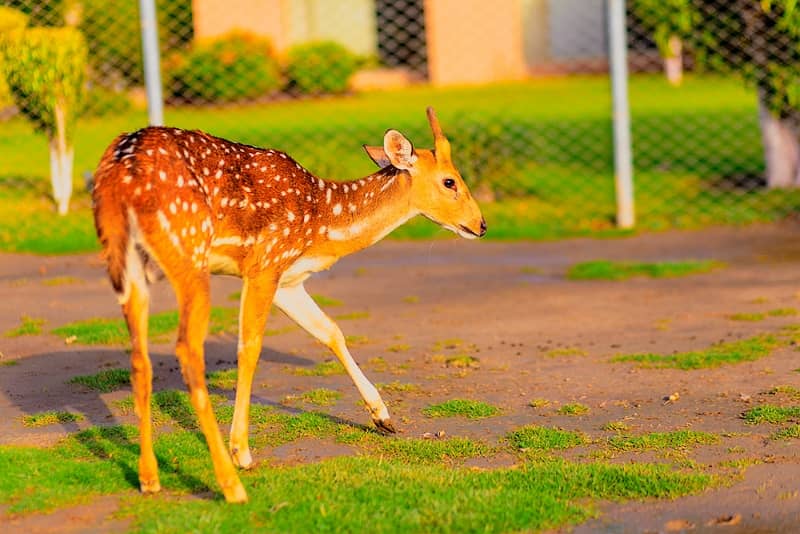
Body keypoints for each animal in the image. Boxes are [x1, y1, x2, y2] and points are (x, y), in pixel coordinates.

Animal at [90, 107, 484, 504]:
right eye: (450, 181)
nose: (480, 224)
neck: (323, 229)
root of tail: (119, 176)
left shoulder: (288, 280)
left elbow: (331, 331)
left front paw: (383, 417)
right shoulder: (266, 262)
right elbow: (250, 348)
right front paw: (242, 451)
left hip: (127, 261)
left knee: (140, 358)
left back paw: (149, 478)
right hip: (189, 247)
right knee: (187, 349)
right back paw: (231, 484)